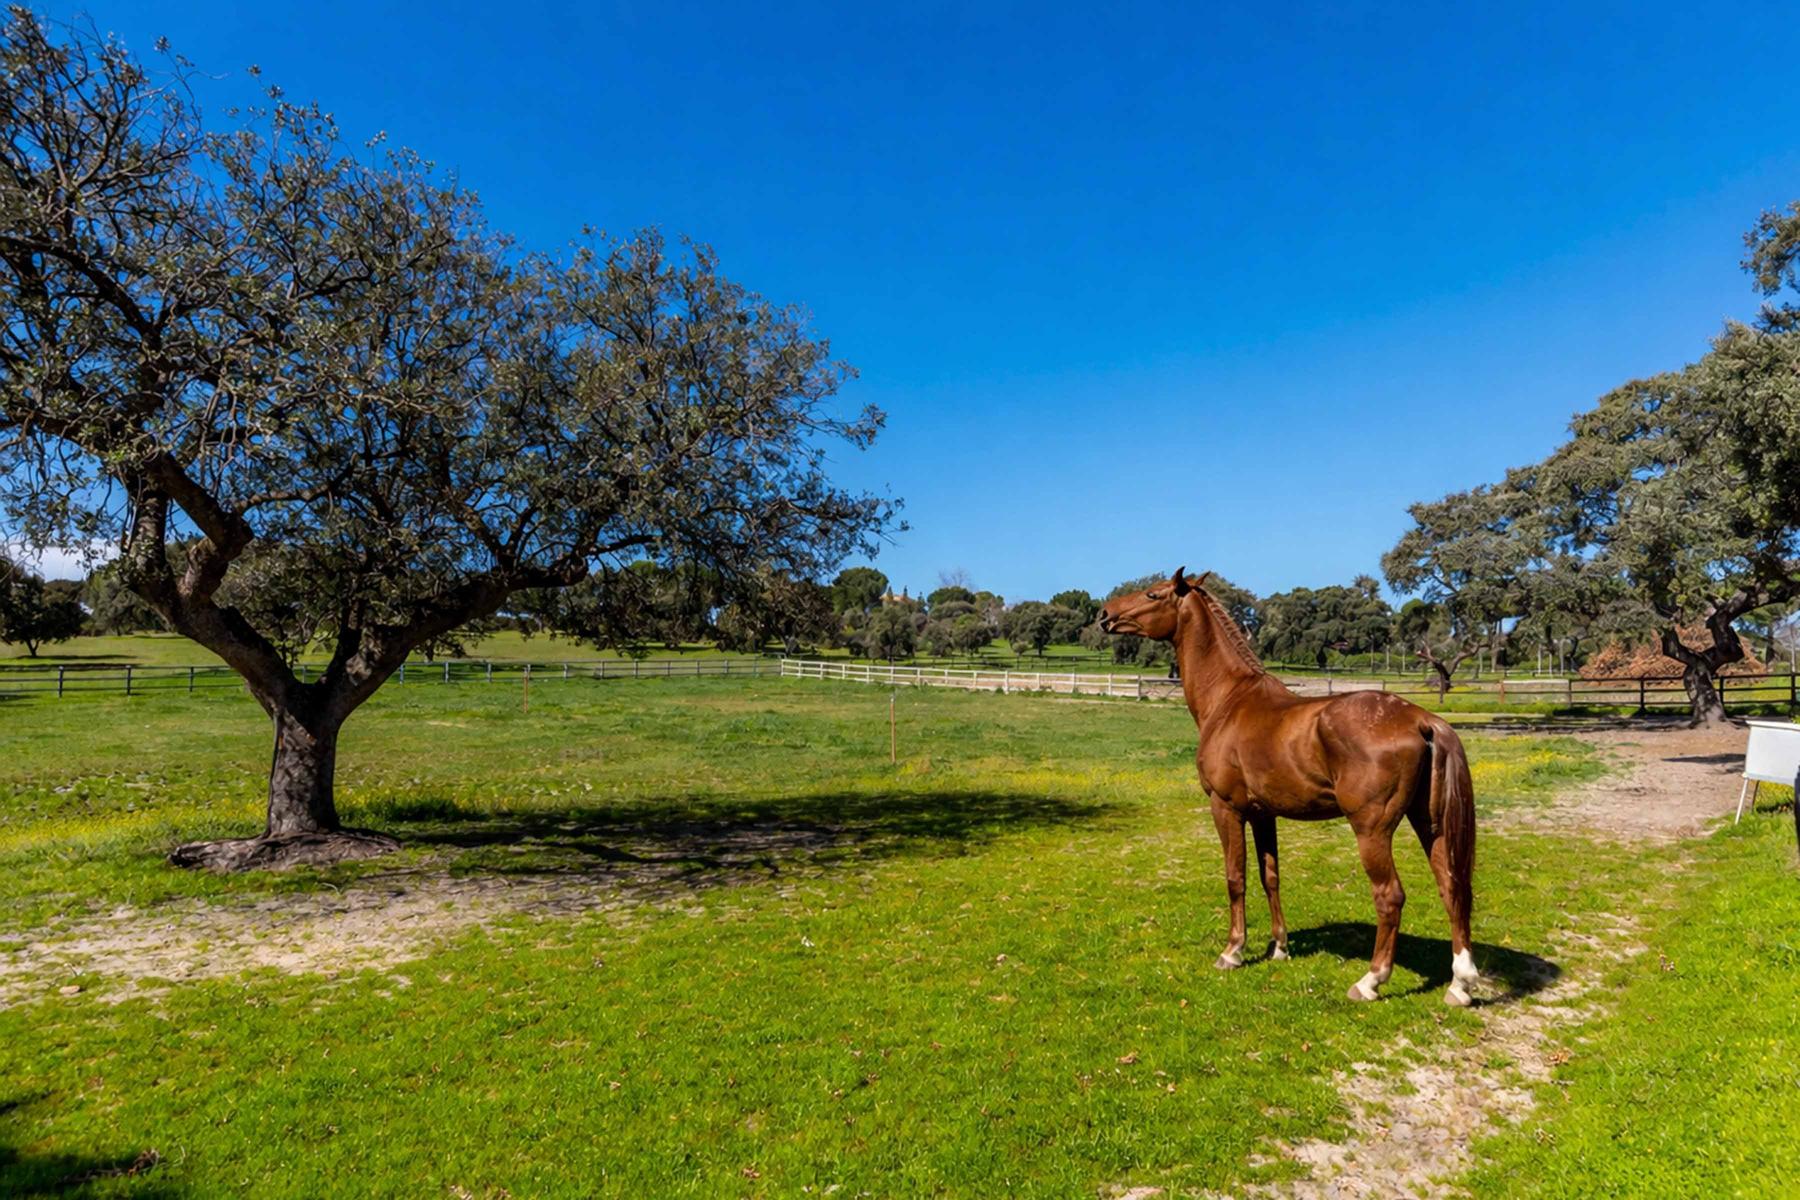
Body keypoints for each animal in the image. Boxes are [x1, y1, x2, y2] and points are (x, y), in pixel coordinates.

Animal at [1097, 568, 1479, 1005]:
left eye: (1152, 594)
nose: (1104, 613)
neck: (1229, 700)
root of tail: (1421, 719)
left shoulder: (1225, 808)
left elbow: (1235, 878)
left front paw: (1233, 952)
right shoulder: (1264, 815)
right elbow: (1271, 877)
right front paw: (1278, 947)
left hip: (1372, 830)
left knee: (1390, 897)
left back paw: (1371, 981)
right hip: (1429, 824)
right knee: (1452, 888)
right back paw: (1460, 984)